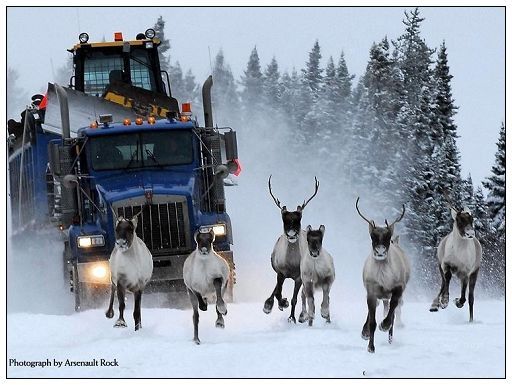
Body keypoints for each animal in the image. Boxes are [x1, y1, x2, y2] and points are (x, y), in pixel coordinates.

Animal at [358, 200, 410, 352]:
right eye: (372, 236)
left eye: (388, 237)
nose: (380, 252)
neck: (383, 277)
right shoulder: (371, 290)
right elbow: (372, 321)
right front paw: (370, 346)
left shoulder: (398, 288)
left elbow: (391, 312)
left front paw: (384, 325)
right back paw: (365, 332)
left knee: (392, 313)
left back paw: (390, 337)